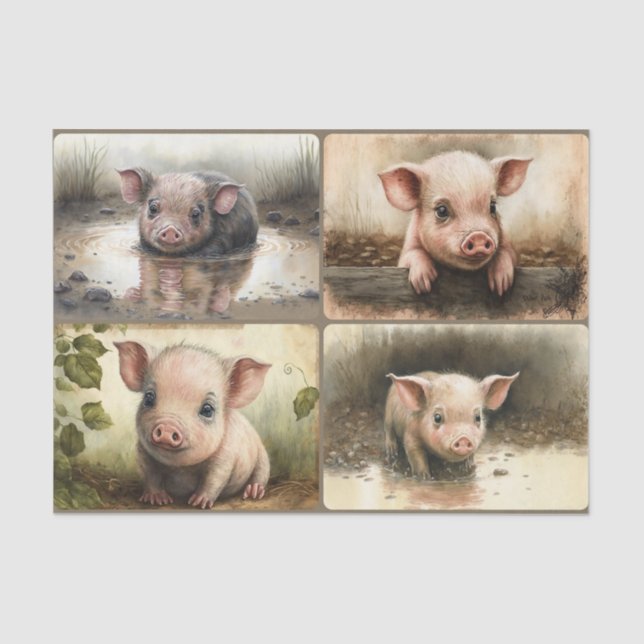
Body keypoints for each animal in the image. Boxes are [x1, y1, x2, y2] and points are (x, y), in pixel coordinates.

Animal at [115, 341, 271, 509]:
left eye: (207, 409)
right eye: (148, 398)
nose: (167, 427)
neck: (180, 468)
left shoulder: (225, 456)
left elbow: (214, 480)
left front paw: (198, 503)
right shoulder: (143, 452)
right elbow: (150, 475)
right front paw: (157, 500)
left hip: (262, 455)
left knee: (261, 473)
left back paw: (253, 492)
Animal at [378, 151, 532, 296]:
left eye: (492, 206)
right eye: (441, 211)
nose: (479, 236)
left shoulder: (508, 245)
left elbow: (507, 253)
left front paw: (502, 286)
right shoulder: (408, 248)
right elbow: (412, 254)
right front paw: (423, 285)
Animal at [384, 370, 519, 479]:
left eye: (478, 417)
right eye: (437, 417)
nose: (463, 438)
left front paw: (468, 467)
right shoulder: (410, 433)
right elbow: (415, 454)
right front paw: (425, 477)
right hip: (388, 413)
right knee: (389, 430)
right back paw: (392, 452)